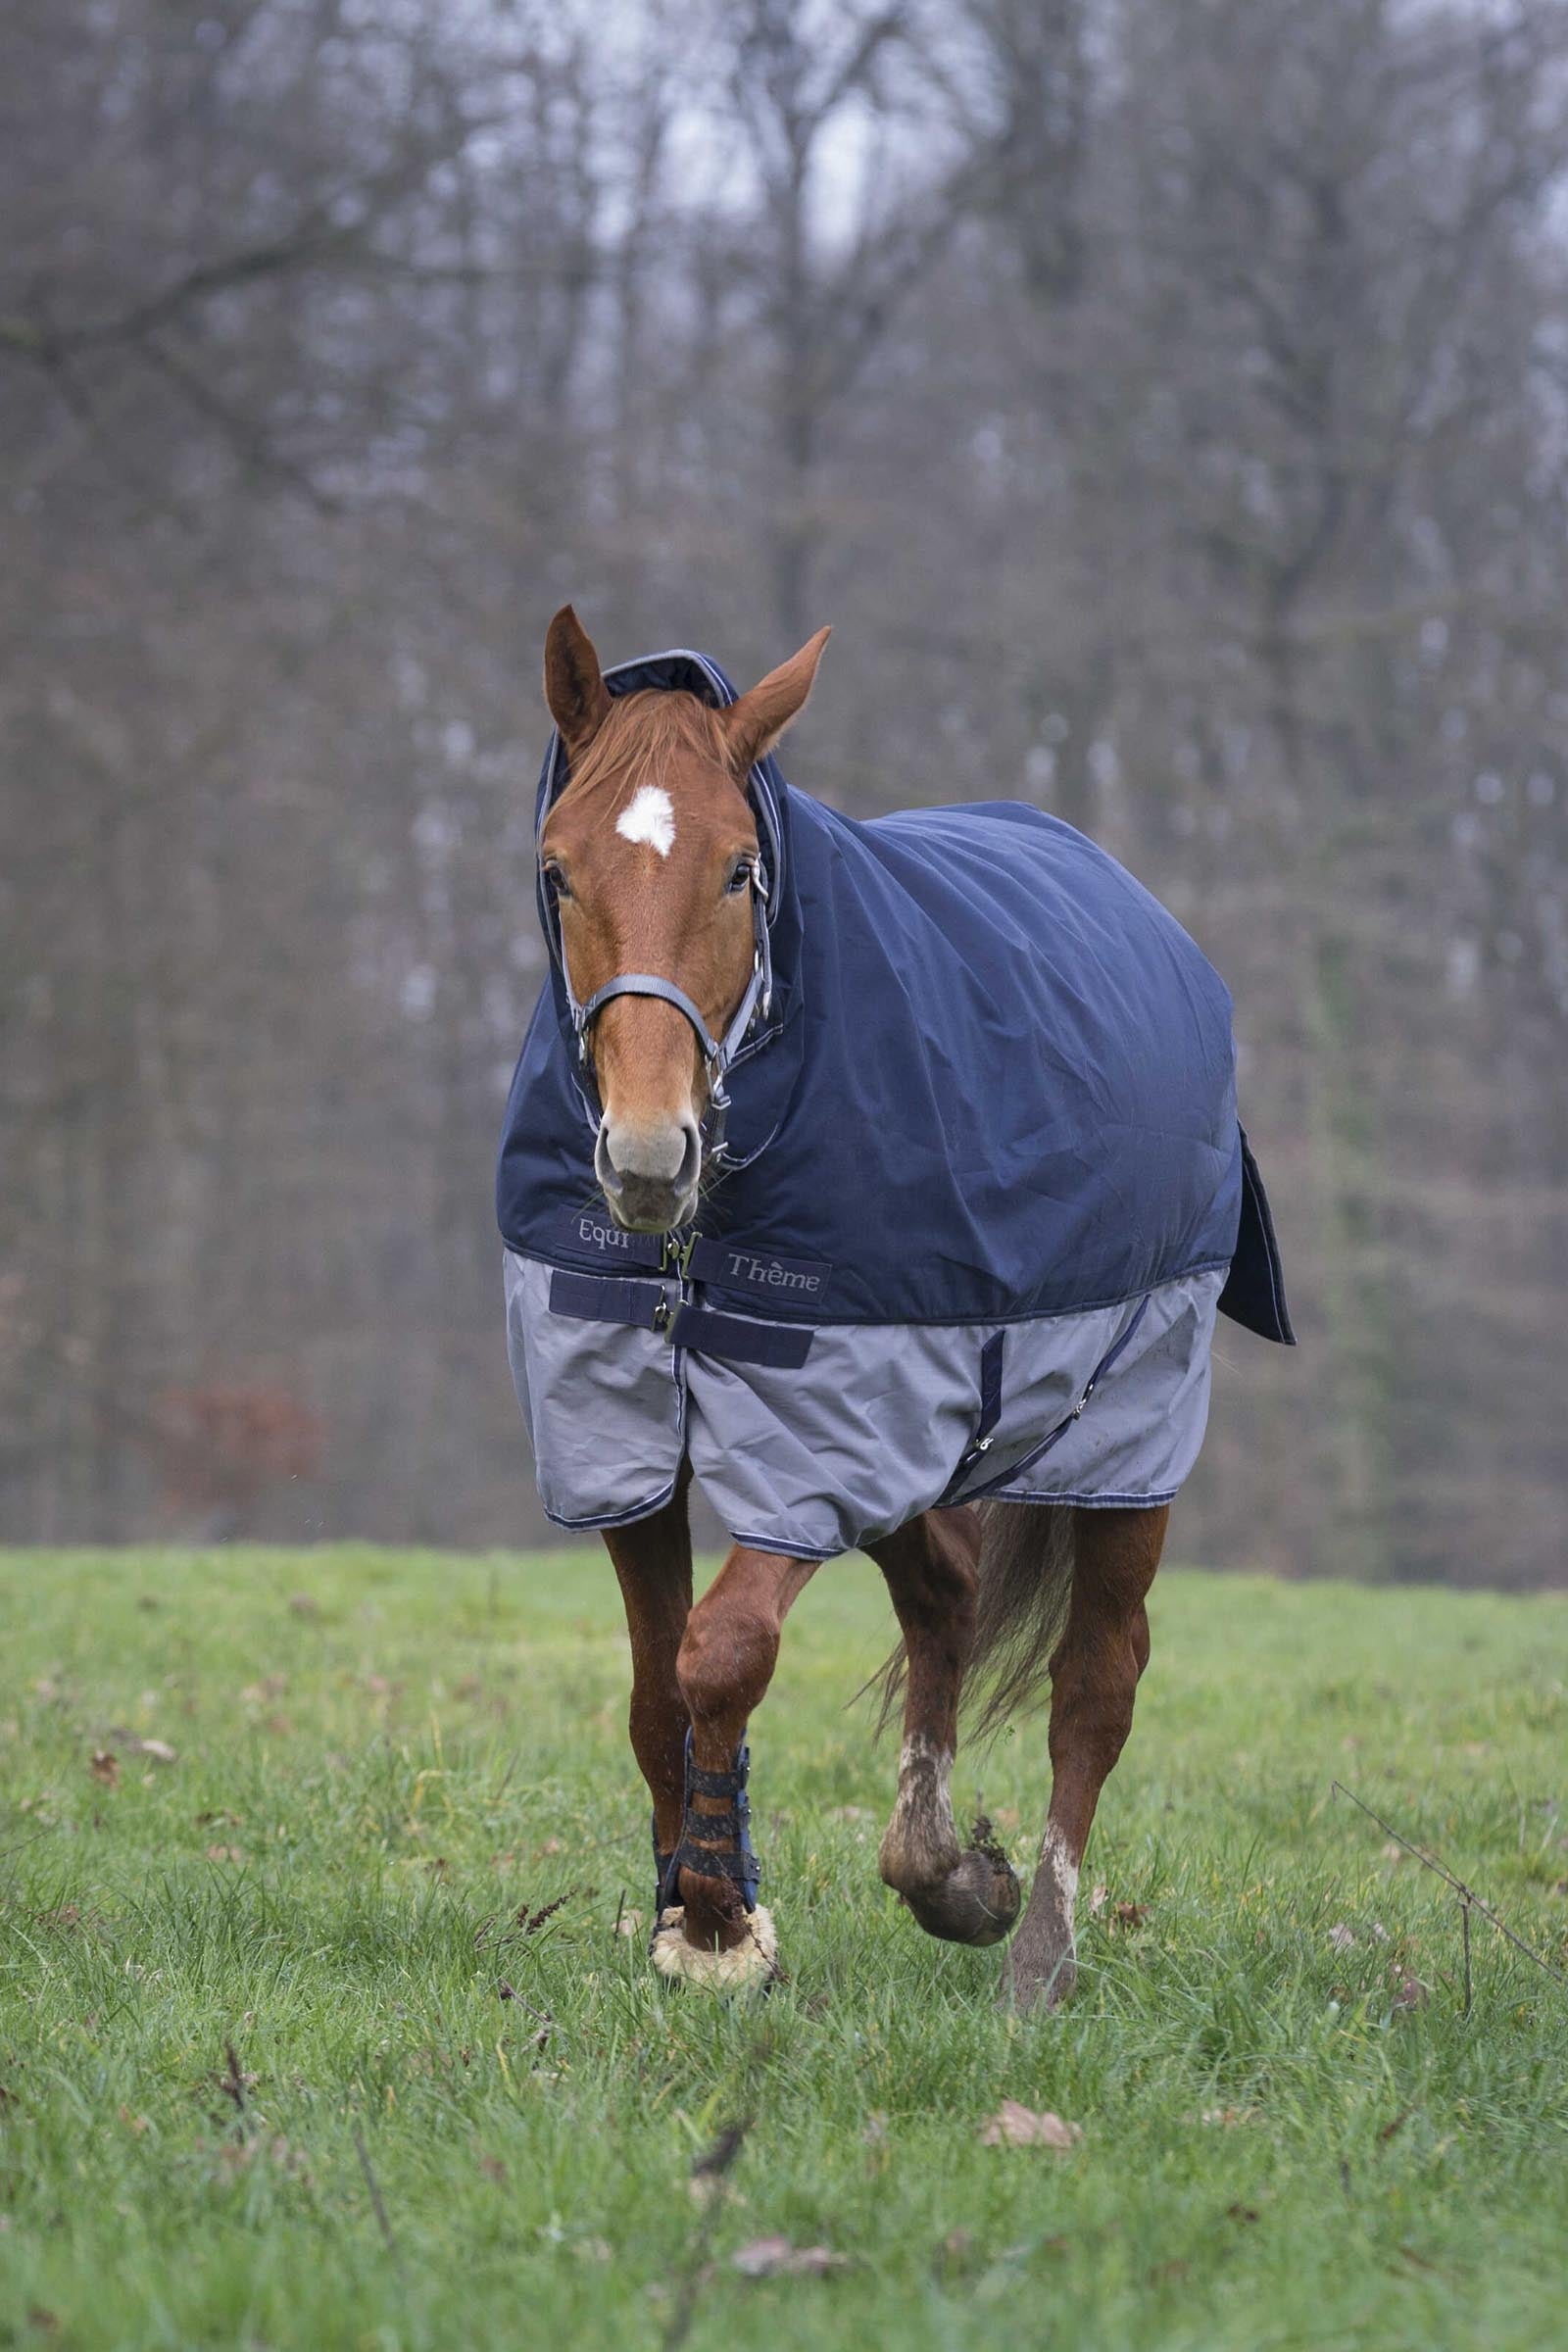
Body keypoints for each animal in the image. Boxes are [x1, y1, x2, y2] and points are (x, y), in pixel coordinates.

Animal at [497, 607, 1292, 2004]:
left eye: (740, 874)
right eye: (560, 872)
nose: (647, 1159)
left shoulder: (820, 1434)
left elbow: (720, 1653)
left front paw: (718, 1923)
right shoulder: (621, 1435)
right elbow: (655, 1688)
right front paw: (690, 1907)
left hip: (1124, 1424)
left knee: (1097, 1680)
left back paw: (1038, 1954)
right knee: (947, 1598)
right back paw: (947, 1875)